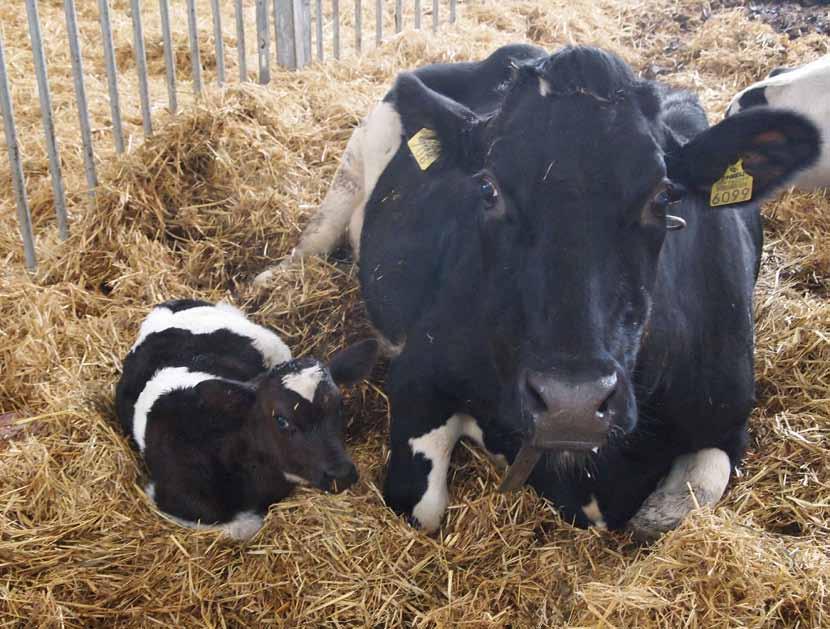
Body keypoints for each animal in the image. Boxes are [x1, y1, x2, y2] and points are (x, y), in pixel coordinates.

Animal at [115, 300, 378, 540]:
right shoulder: (171, 500)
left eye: (340, 405)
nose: (341, 475)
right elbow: (245, 526)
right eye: (281, 419)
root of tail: (171, 304)